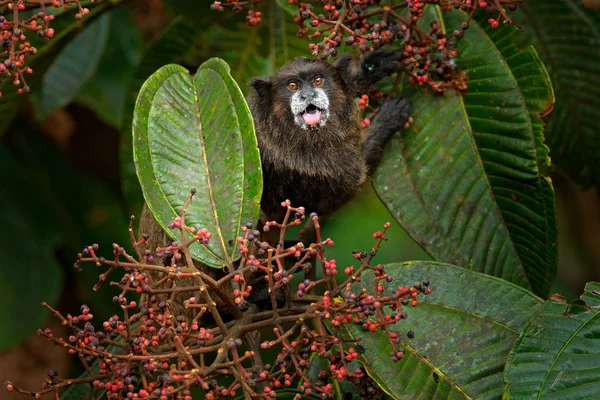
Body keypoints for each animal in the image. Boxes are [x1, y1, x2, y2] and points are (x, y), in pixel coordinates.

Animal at [139, 50, 412, 318]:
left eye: (318, 80)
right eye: (292, 86)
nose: (307, 96)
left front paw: (367, 70)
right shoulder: (300, 159)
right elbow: (338, 192)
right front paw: (387, 120)